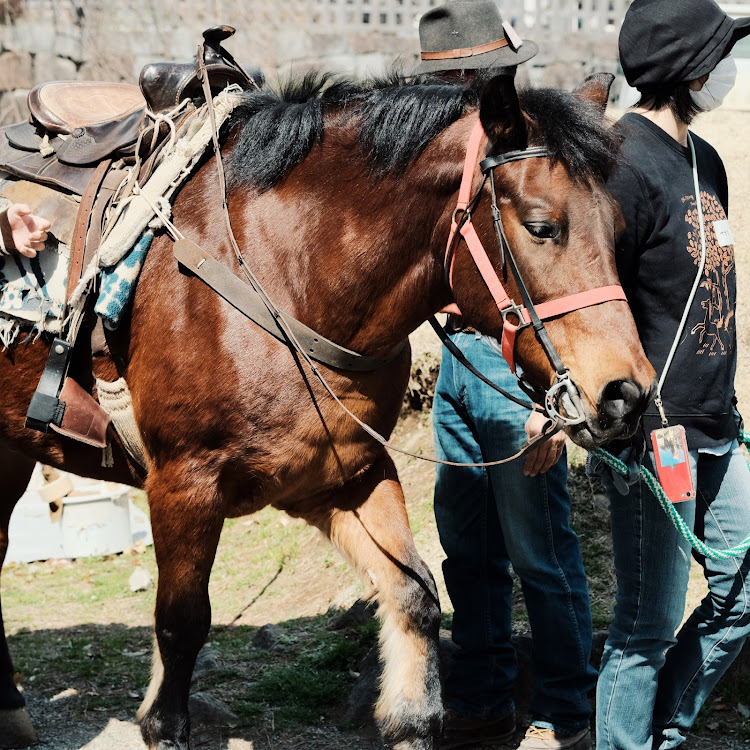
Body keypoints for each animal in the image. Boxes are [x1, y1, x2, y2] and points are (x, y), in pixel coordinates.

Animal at [0, 75, 656, 750]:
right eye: (542, 226)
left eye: (618, 228)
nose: (626, 395)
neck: (284, 271)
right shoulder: (184, 482)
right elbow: (181, 626)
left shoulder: (343, 474)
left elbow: (415, 595)